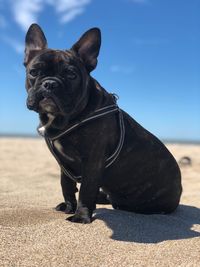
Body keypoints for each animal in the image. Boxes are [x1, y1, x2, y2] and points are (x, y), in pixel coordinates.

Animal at [24, 23, 182, 224]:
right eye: (33, 72)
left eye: (71, 75)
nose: (50, 84)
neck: (64, 118)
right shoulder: (64, 166)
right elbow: (66, 185)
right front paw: (69, 207)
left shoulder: (93, 161)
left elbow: (86, 190)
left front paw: (81, 216)